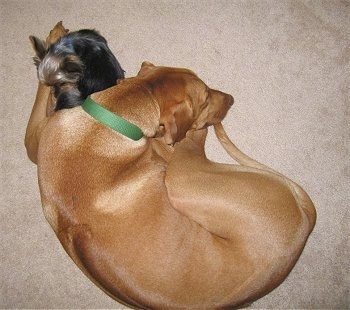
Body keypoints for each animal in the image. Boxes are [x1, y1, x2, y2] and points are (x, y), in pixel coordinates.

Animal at [23, 55, 314, 308]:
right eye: (205, 97)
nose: (231, 99)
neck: (110, 118)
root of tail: (304, 227)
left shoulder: (35, 143)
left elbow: (39, 99)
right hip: (183, 177)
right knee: (195, 139)